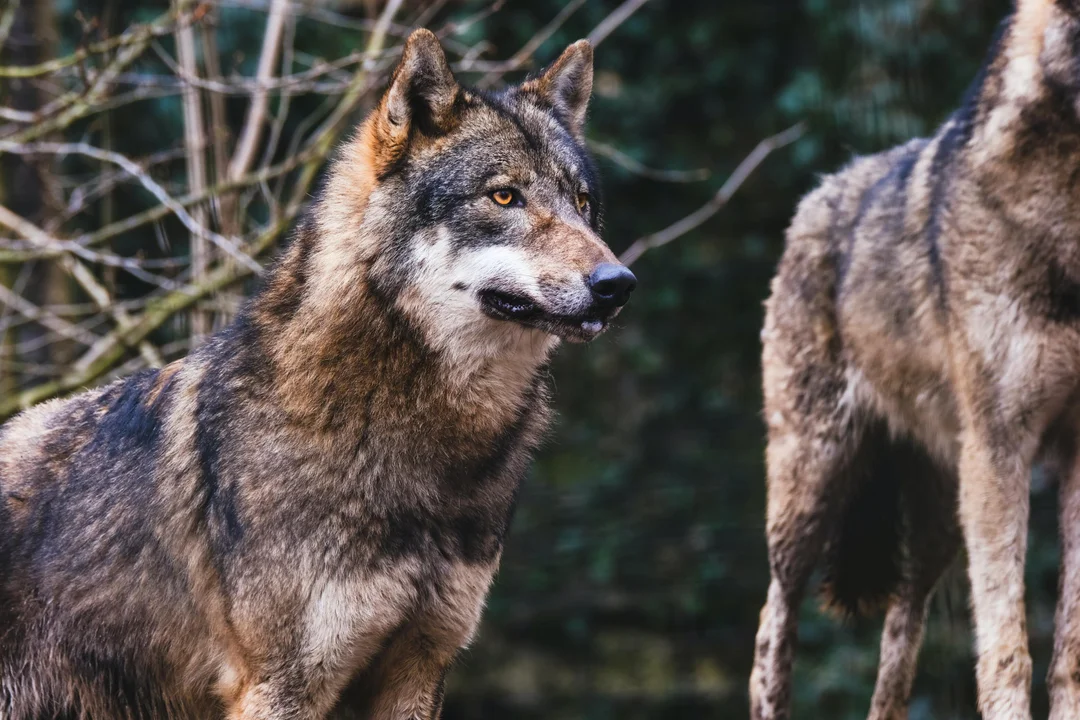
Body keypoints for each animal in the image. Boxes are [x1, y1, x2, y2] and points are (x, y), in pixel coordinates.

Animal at [751, 1, 1080, 720]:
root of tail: (813, 197)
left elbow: (1067, 650)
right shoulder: (1001, 445)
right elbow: (1008, 649)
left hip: (940, 522)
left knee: (897, 643)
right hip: (811, 491)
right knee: (771, 631)